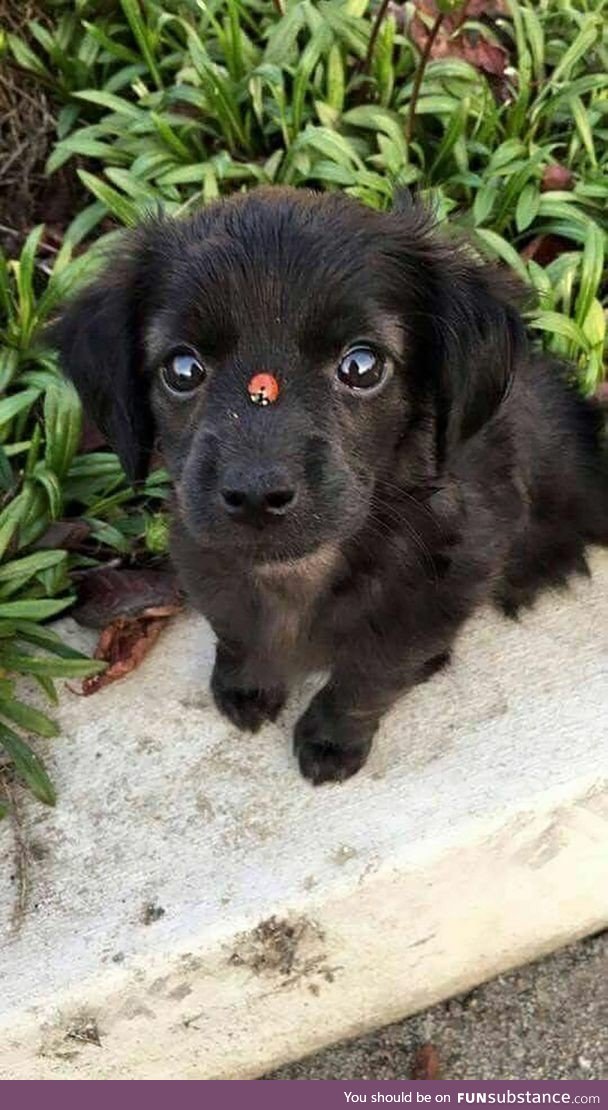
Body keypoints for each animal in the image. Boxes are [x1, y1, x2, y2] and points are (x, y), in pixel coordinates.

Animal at [52, 188, 608, 781]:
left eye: (361, 366)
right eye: (182, 370)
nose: (256, 494)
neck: (302, 571)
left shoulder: (438, 592)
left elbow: (370, 675)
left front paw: (332, 739)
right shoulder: (206, 560)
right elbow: (238, 629)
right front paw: (245, 686)